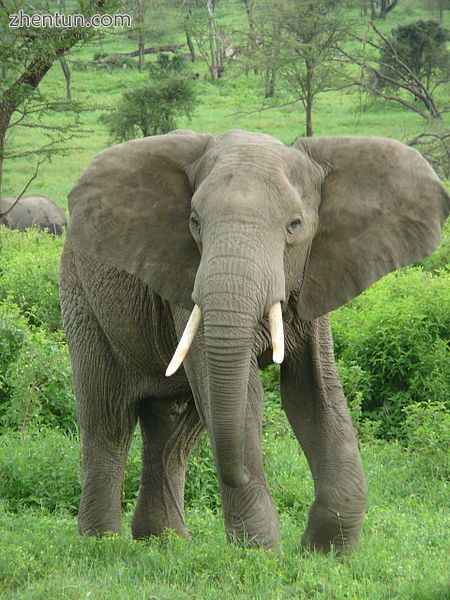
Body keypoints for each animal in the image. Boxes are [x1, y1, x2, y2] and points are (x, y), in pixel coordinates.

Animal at [59, 129, 446, 552]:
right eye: (194, 222)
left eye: (294, 225)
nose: (240, 474)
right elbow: (245, 397)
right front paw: (259, 553)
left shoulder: (314, 278)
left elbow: (316, 393)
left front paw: (325, 553)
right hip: (82, 298)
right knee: (108, 418)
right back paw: (102, 544)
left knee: (174, 431)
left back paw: (166, 543)